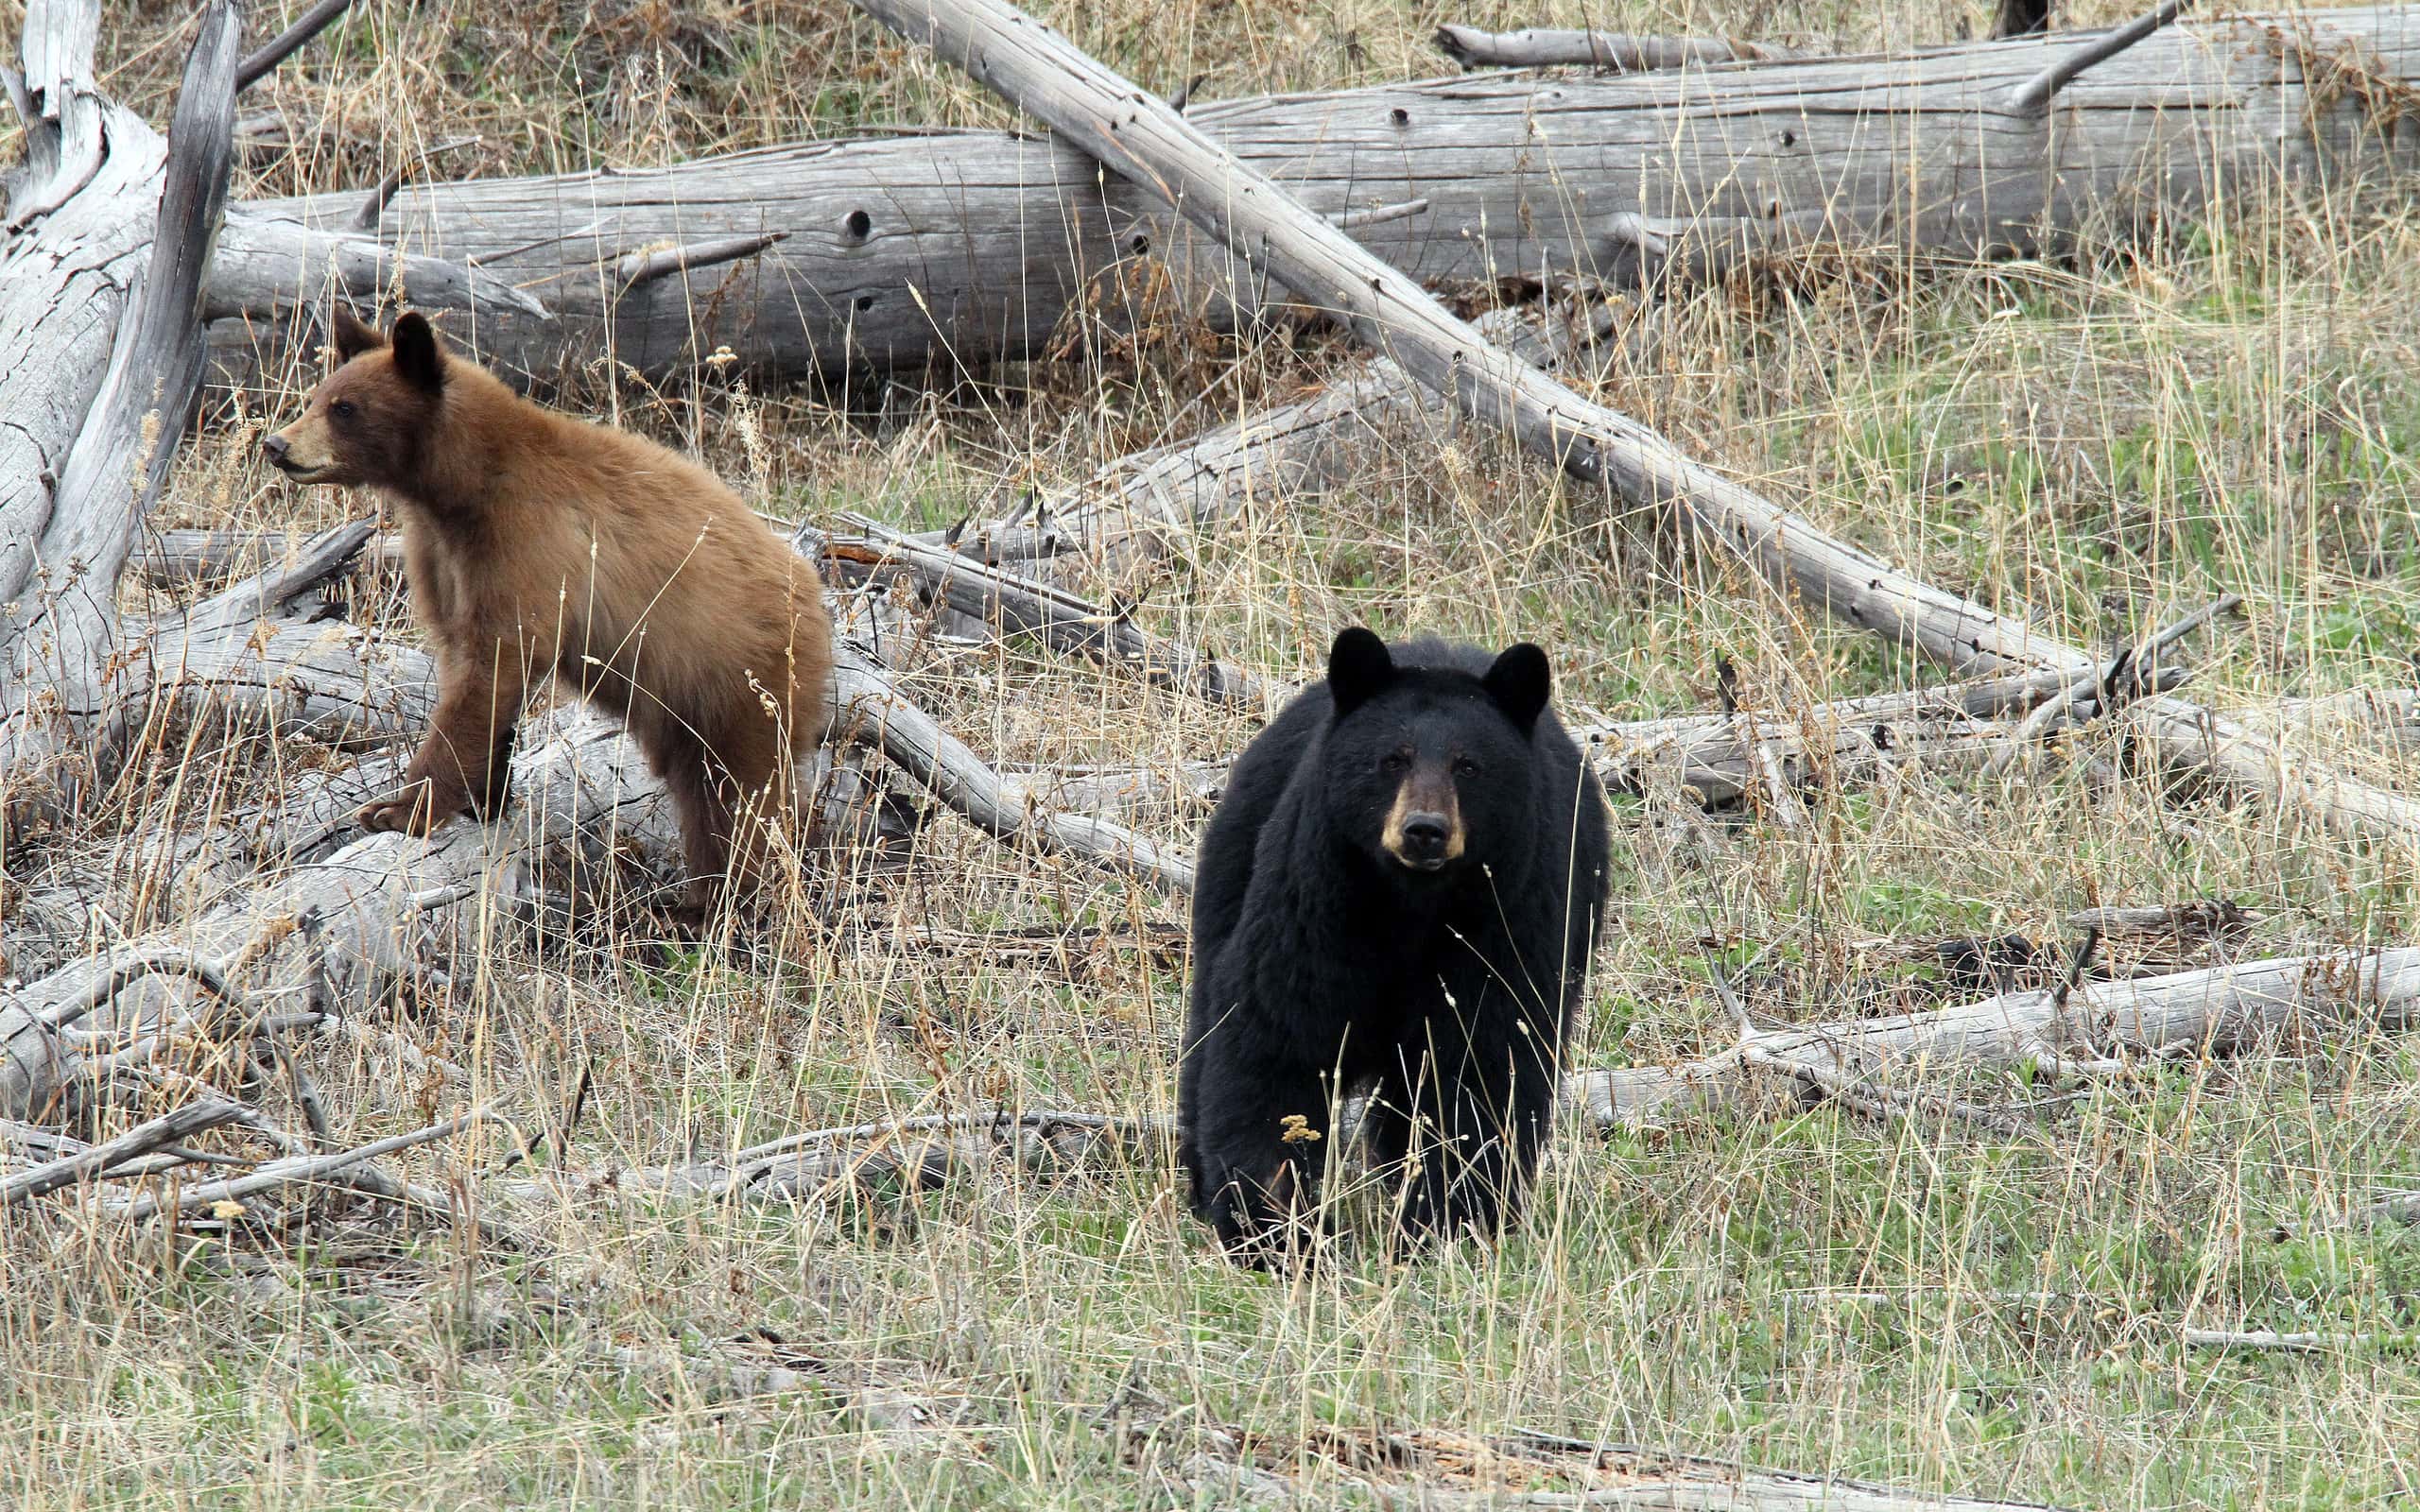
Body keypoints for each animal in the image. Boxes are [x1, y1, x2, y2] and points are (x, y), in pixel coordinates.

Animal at [262, 307, 834, 921]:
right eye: (316, 397)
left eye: (345, 408)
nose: (276, 444)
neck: (464, 488)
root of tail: (813, 594)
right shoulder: (444, 558)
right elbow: (465, 667)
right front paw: (483, 797)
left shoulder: (525, 542)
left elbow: (494, 663)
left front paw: (400, 809)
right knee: (702, 787)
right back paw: (696, 901)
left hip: (741, 677)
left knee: (741, 793)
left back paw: (730, 904)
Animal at [1178, 627, 1609, 1266]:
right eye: (1392, 759)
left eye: (1468, 765)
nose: (1425, 830)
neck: (1411, 905)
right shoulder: (1318, 899)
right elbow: (1275, 1036)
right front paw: (1273, 1226)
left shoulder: (1507, 915)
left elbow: (1482, 1063)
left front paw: (1449, 1222)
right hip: (1235, 858)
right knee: (1209, 1015)